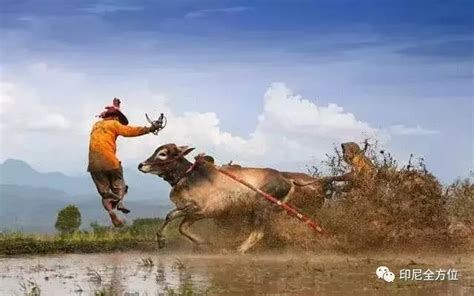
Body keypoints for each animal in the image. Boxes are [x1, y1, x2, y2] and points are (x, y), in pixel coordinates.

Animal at [137, 143, 330, 252]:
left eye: (163, 153)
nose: (141, 165)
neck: (187, 176)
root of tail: (287, 179)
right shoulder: (195, 213)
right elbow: (181, 226)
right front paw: (202, 242)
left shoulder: (198, 208)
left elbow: (171, 216)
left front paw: (163, 240)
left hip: (261, 206)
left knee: (258, 233)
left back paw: (237, 249)